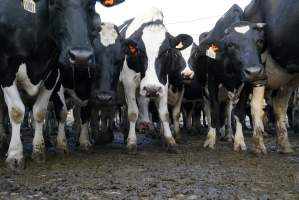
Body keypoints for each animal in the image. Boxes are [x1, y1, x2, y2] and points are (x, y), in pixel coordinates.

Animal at [0, 0, 124, 170]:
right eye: (55, 4)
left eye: (91, 4)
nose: (81, 57)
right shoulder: (6, 69)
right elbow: (17, 111)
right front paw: (15, 154)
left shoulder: (53, 74)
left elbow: (41, 112)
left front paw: (39, 150)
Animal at [119, 7, 195, 153]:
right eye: (139, 51)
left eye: (167, 52)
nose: (151, 88)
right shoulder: (128, 82)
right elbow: (132, 113)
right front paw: (131, 142)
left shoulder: (162, 84)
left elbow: (164, 114)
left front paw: (170, 141)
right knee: (127, 110)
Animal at [190, 4, 268, 152]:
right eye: (231, 45)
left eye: (260, 41)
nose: (254, 72)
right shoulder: (212, 81)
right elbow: (214, 111)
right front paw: (210, 140)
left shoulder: (245, 85)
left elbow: (238, 113)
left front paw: (239, 141)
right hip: (204, 91)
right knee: (208, 110)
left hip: (227, 96)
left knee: (227, 111)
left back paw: (228, 135)